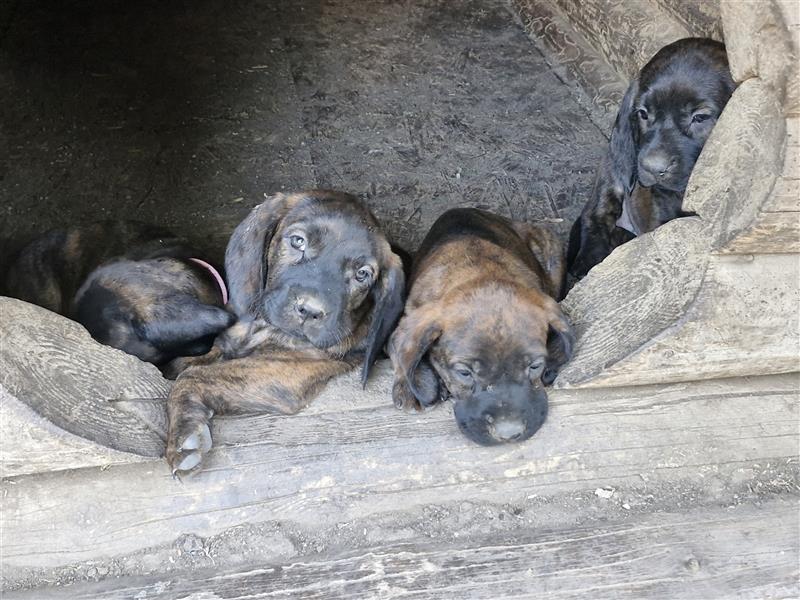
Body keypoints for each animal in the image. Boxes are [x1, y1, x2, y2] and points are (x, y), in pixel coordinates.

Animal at [167, 191, 406, 474]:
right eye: (298, 241)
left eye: (362, 274)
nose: (309, 311)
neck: (263, 327)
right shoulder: (230, 342)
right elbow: (191, 362)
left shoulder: (289, 369)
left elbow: (195, 375)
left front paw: (183, 435)